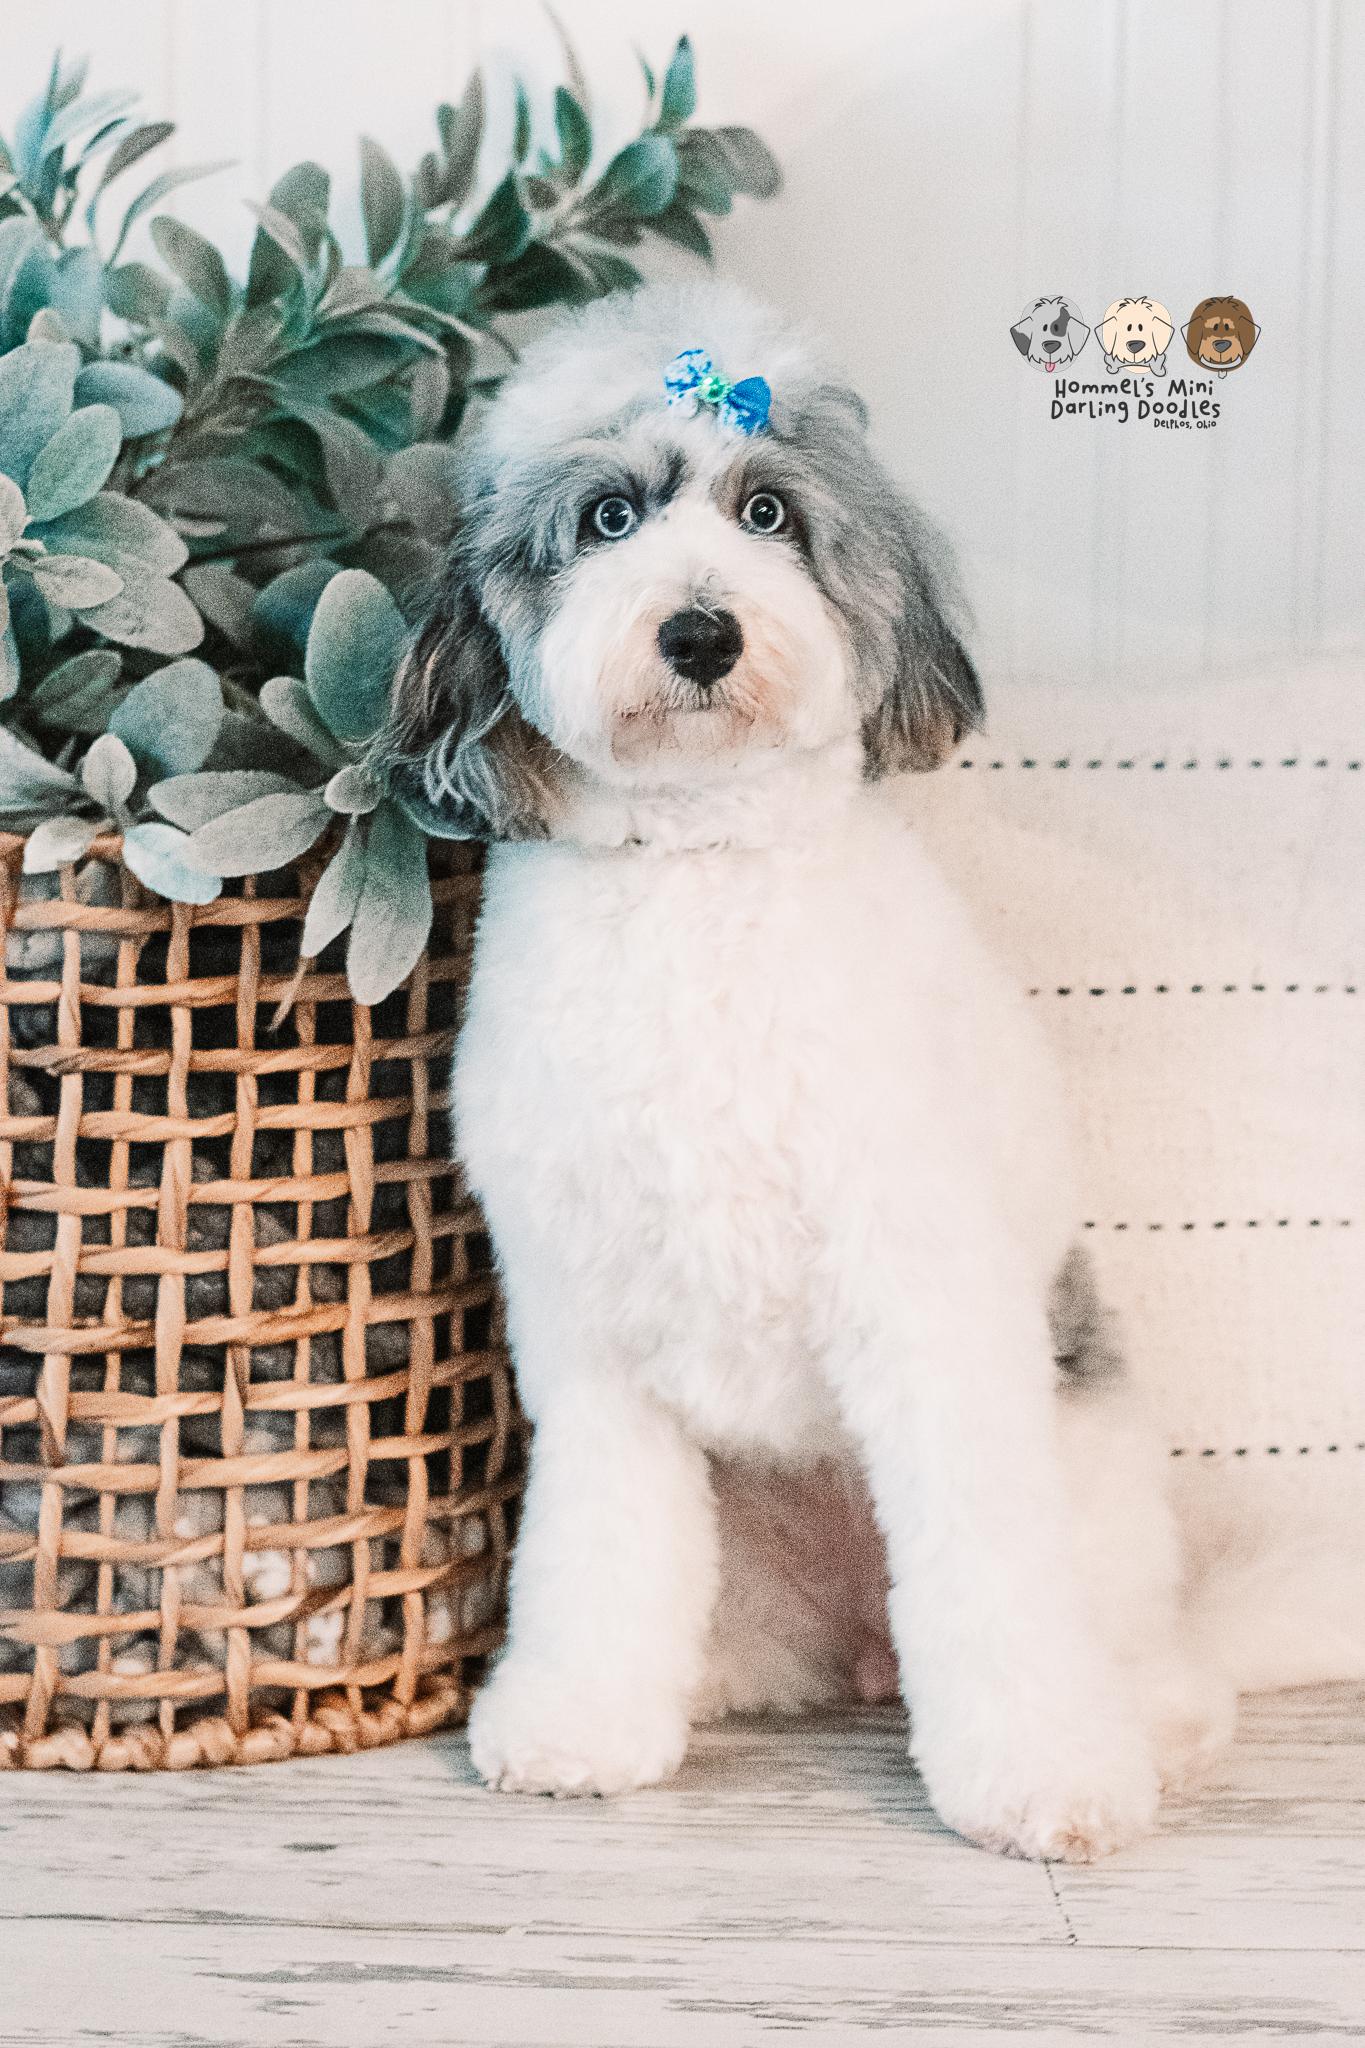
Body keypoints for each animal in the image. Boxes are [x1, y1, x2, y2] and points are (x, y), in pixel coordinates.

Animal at [381, 282, 1358, 1861]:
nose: (701, 630)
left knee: (1128, 1643)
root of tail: (860, 1648)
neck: (703, 875)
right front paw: (582, 1724)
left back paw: (1141, 1716)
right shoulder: (586, 1334)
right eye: (607, 517)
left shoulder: (930, 1307)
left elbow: (991, 1576)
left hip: (1089, 1466)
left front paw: (1042, 1775)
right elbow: (596, 1551)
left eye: (768, 510)